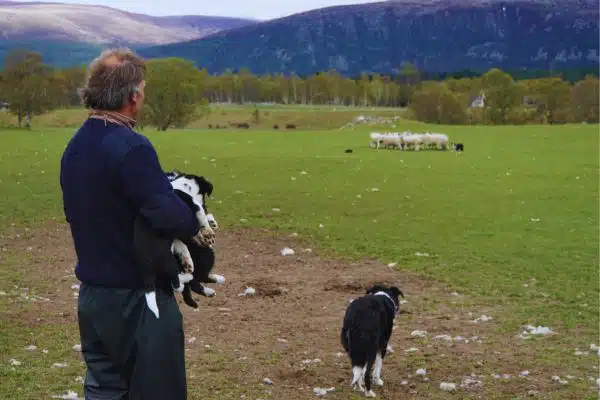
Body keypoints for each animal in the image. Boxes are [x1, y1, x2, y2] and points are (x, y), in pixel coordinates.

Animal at [132, 171, 224, 318]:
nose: (206, 206)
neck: (181, 186)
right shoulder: (193, 205)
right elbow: (200, 213)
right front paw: (208, 230)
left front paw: (211, 223)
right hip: (185, 257)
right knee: (185, 280)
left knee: (189, 283)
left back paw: (206, 288)